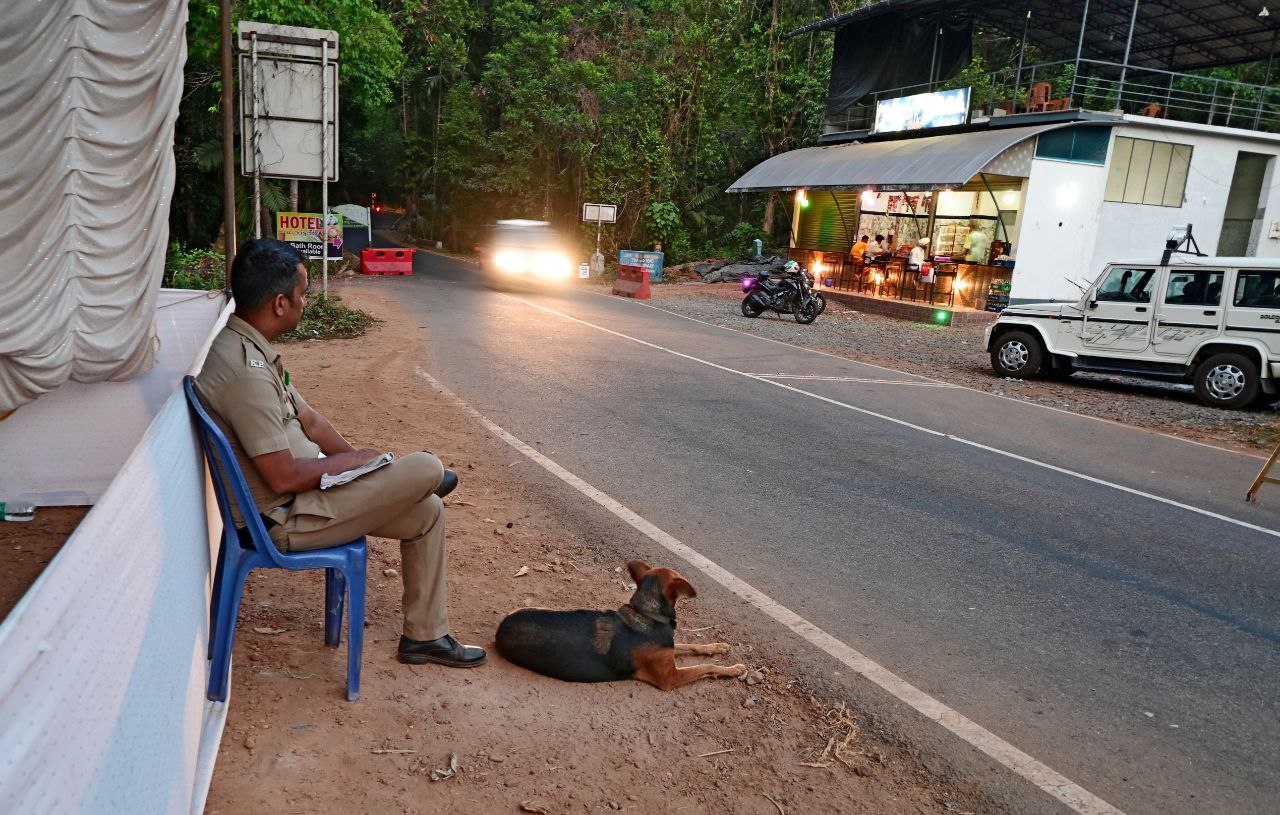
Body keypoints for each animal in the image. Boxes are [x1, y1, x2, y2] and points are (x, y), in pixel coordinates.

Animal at [491, 560, 747, 685]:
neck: (647, 614)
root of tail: (500, 630)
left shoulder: (670, 649)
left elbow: (692, 646)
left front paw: (718, 647)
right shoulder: (670, 678)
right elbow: (705, 667)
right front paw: (733, 669)